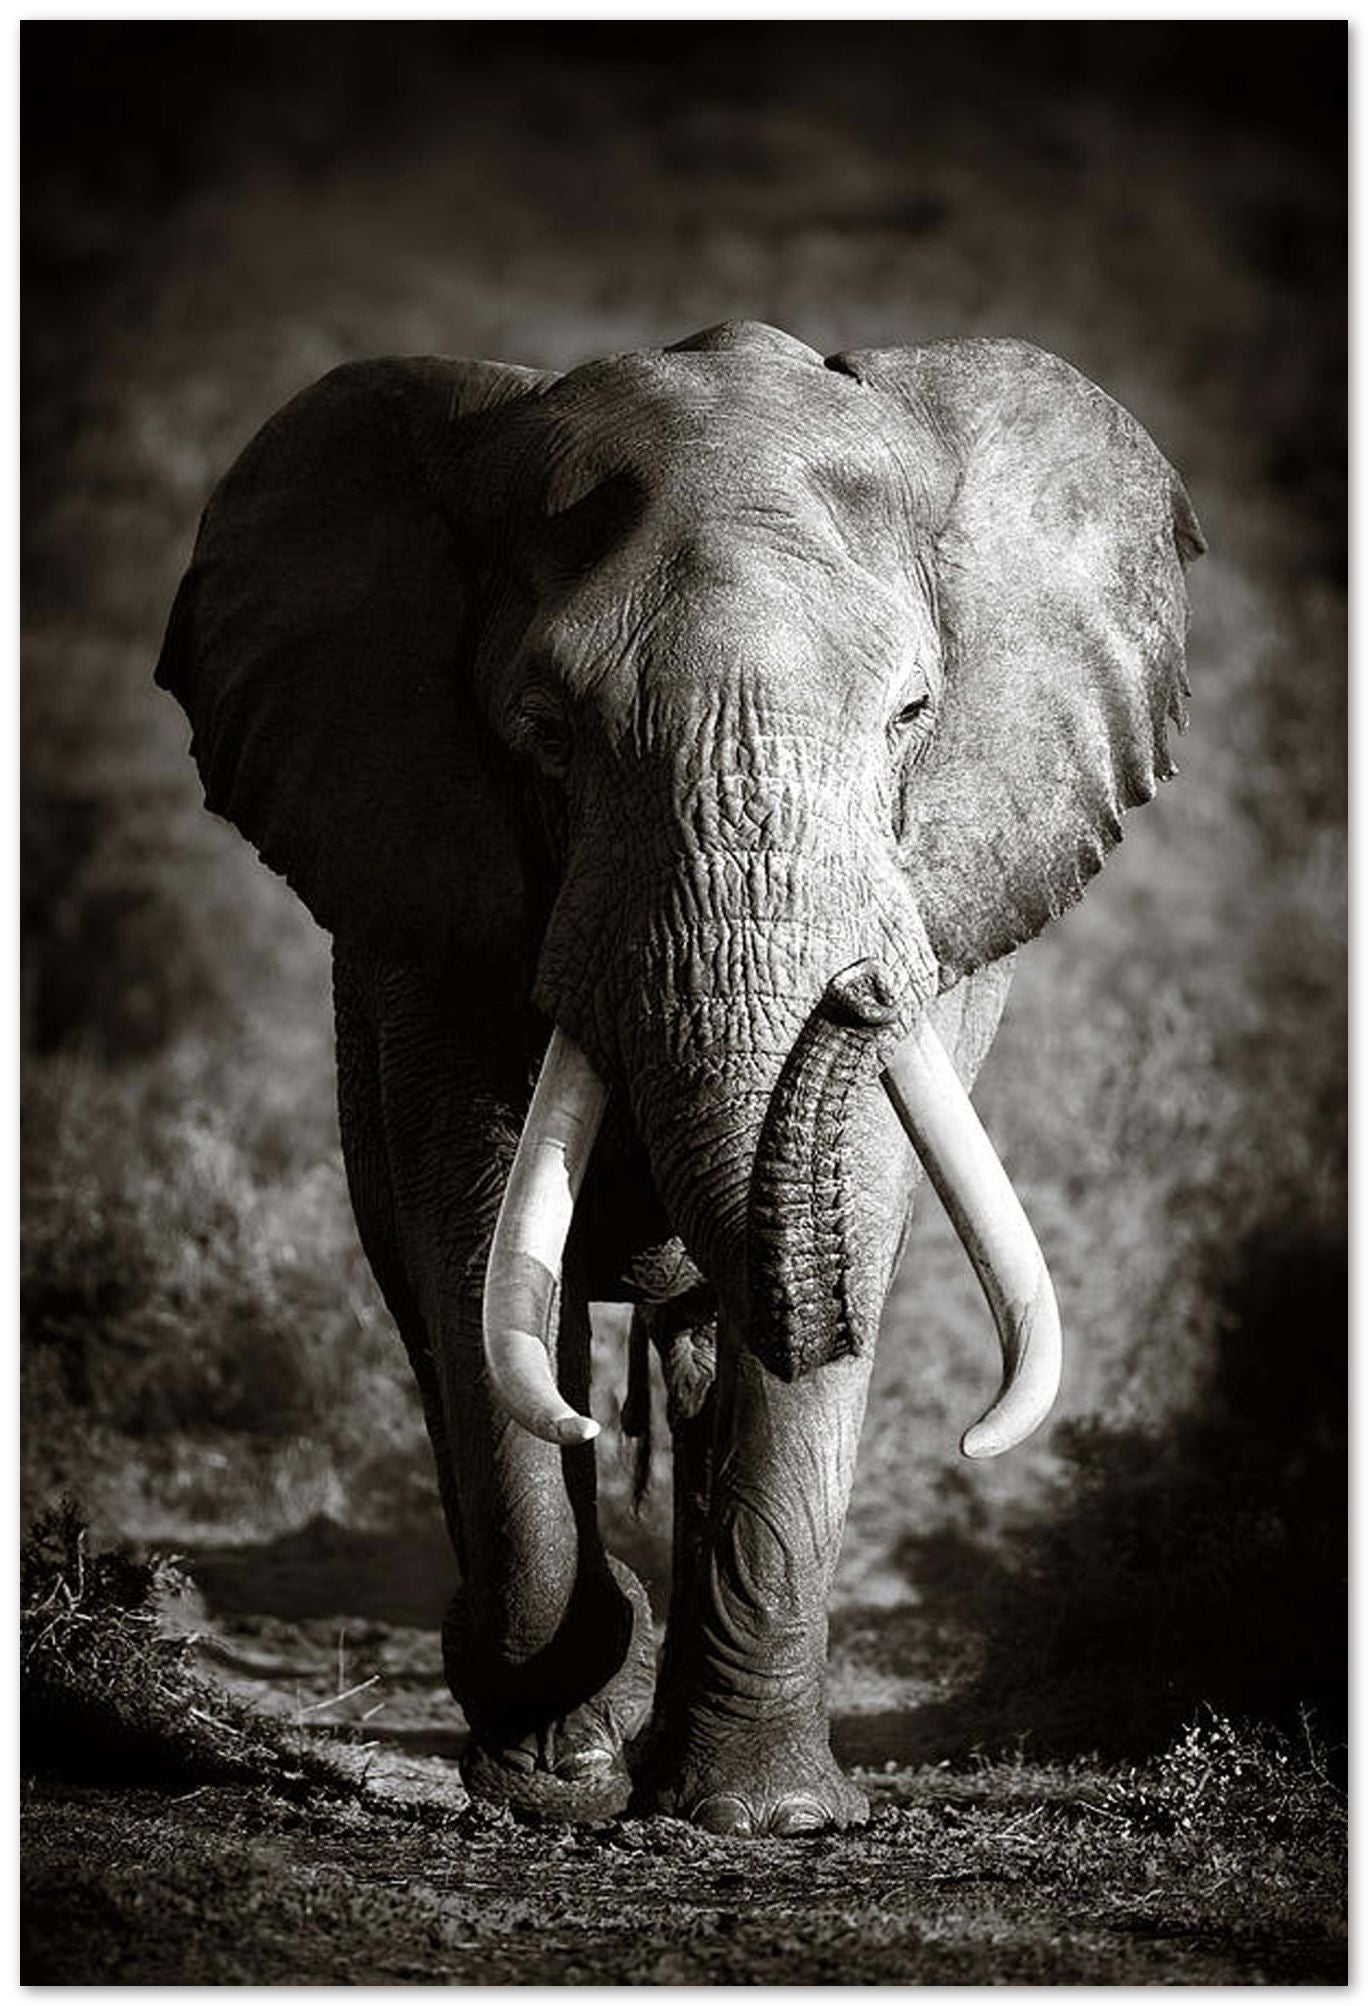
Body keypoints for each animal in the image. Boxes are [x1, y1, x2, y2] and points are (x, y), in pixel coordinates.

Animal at [156, 319, 1203, 1835]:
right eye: (544, 732)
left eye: (913, 714)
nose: (859, 989)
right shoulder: (429, 899)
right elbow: (473, 1235)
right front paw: (553, 1775)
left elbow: (853, 1213)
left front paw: (765, 1817)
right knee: (434, 1308)